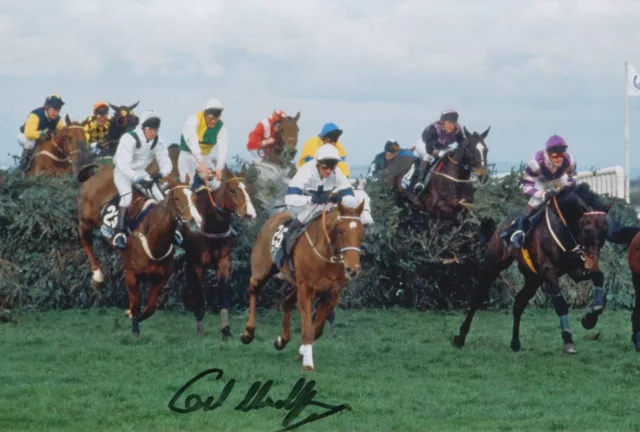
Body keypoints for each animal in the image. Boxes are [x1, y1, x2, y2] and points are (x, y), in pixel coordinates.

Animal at [77, 164, 202, 336]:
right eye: (177, 198)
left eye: (194, 198)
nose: (195, 221)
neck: (153, 238)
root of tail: (97, 172)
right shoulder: (130, 273)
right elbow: (136, 303)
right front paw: (135, 328)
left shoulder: (160, 276)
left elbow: (150, 308)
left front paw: (131, 315)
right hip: (86, 221)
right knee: (85, 241)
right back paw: (97, 276)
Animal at [180, 165, 258, 338]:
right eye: (233, 190)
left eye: (248, 189)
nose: (250, 215)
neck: (211, 225)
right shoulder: (197, 264)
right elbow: (200, 297)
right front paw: (200, 330)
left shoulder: (223, 262)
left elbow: (223, 296)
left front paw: (226, 330)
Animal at [239, 200, 364, 372]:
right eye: (341, 231)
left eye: (361, 232)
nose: (353, 269)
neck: (325, 255)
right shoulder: (306, 291)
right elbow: (308, 329)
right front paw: (308, 363)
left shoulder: (332, 295)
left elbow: (317, 329)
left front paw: (302, 351)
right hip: (262, 270)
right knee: (253, 289)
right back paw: (248, 332)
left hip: (294, 284)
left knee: (286, 302)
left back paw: (282, 340)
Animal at [450, 182, 608, 354]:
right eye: (587, 230)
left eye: (605, 231)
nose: (593, 261)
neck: (564, 226)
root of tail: (501, 226)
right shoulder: (549, 269)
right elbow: (560, 303)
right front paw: (568, 340)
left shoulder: (575, 268)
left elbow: (598, 276)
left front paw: (590, 317)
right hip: (493, 266)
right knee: (477, 297)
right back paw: (460, 337)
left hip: (533, 278)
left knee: (519, 303)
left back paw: (515, 342)